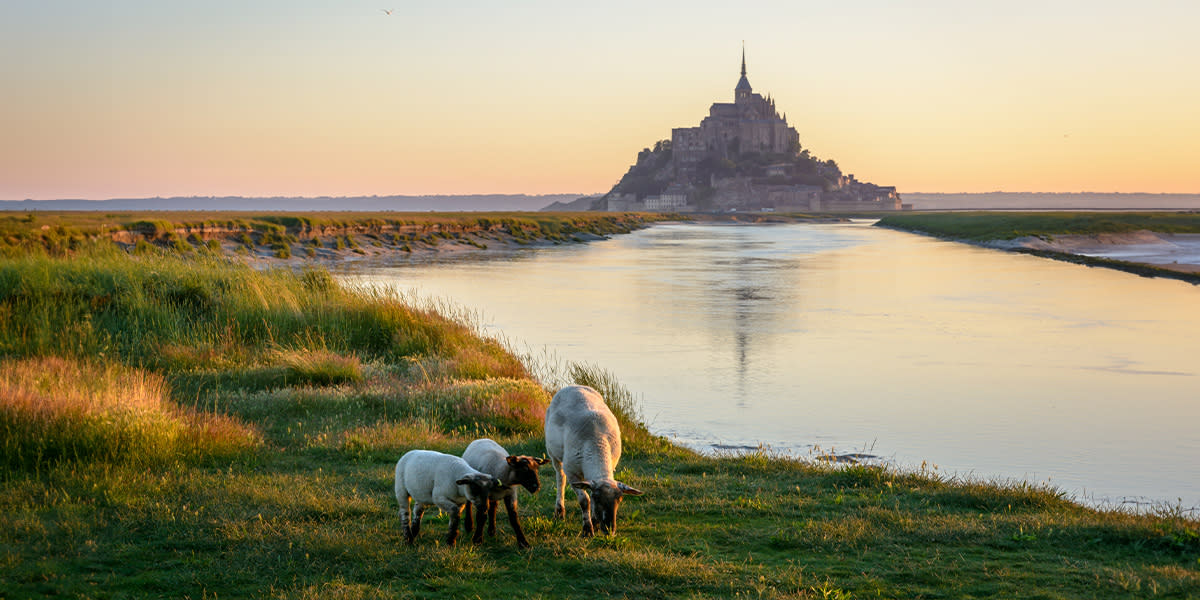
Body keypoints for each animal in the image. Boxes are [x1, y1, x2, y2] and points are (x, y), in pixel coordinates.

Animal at [544, 386, 643, 537]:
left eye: (620, 499)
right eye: (597, 498)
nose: (609, 530)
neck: (597, 443)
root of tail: (574, 386)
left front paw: (595, 523)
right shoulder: (573, 473)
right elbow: (584, 500)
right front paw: (587, 529)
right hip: (553, 454)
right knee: (560, 479)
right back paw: (559, 511)